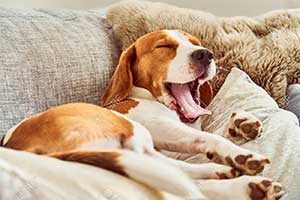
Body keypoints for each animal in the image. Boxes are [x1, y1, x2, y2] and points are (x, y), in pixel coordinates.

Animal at [1, 30, 284, 200]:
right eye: (165, 46)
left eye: (196, 44)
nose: (205, 54)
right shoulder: (158, 126)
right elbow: (208, 138)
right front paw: (237, 152)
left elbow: (209, 133)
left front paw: (241, 123)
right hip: (135, 132)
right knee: (186, 184)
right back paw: (239, 177)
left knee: (185, 176)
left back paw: (235, 180)